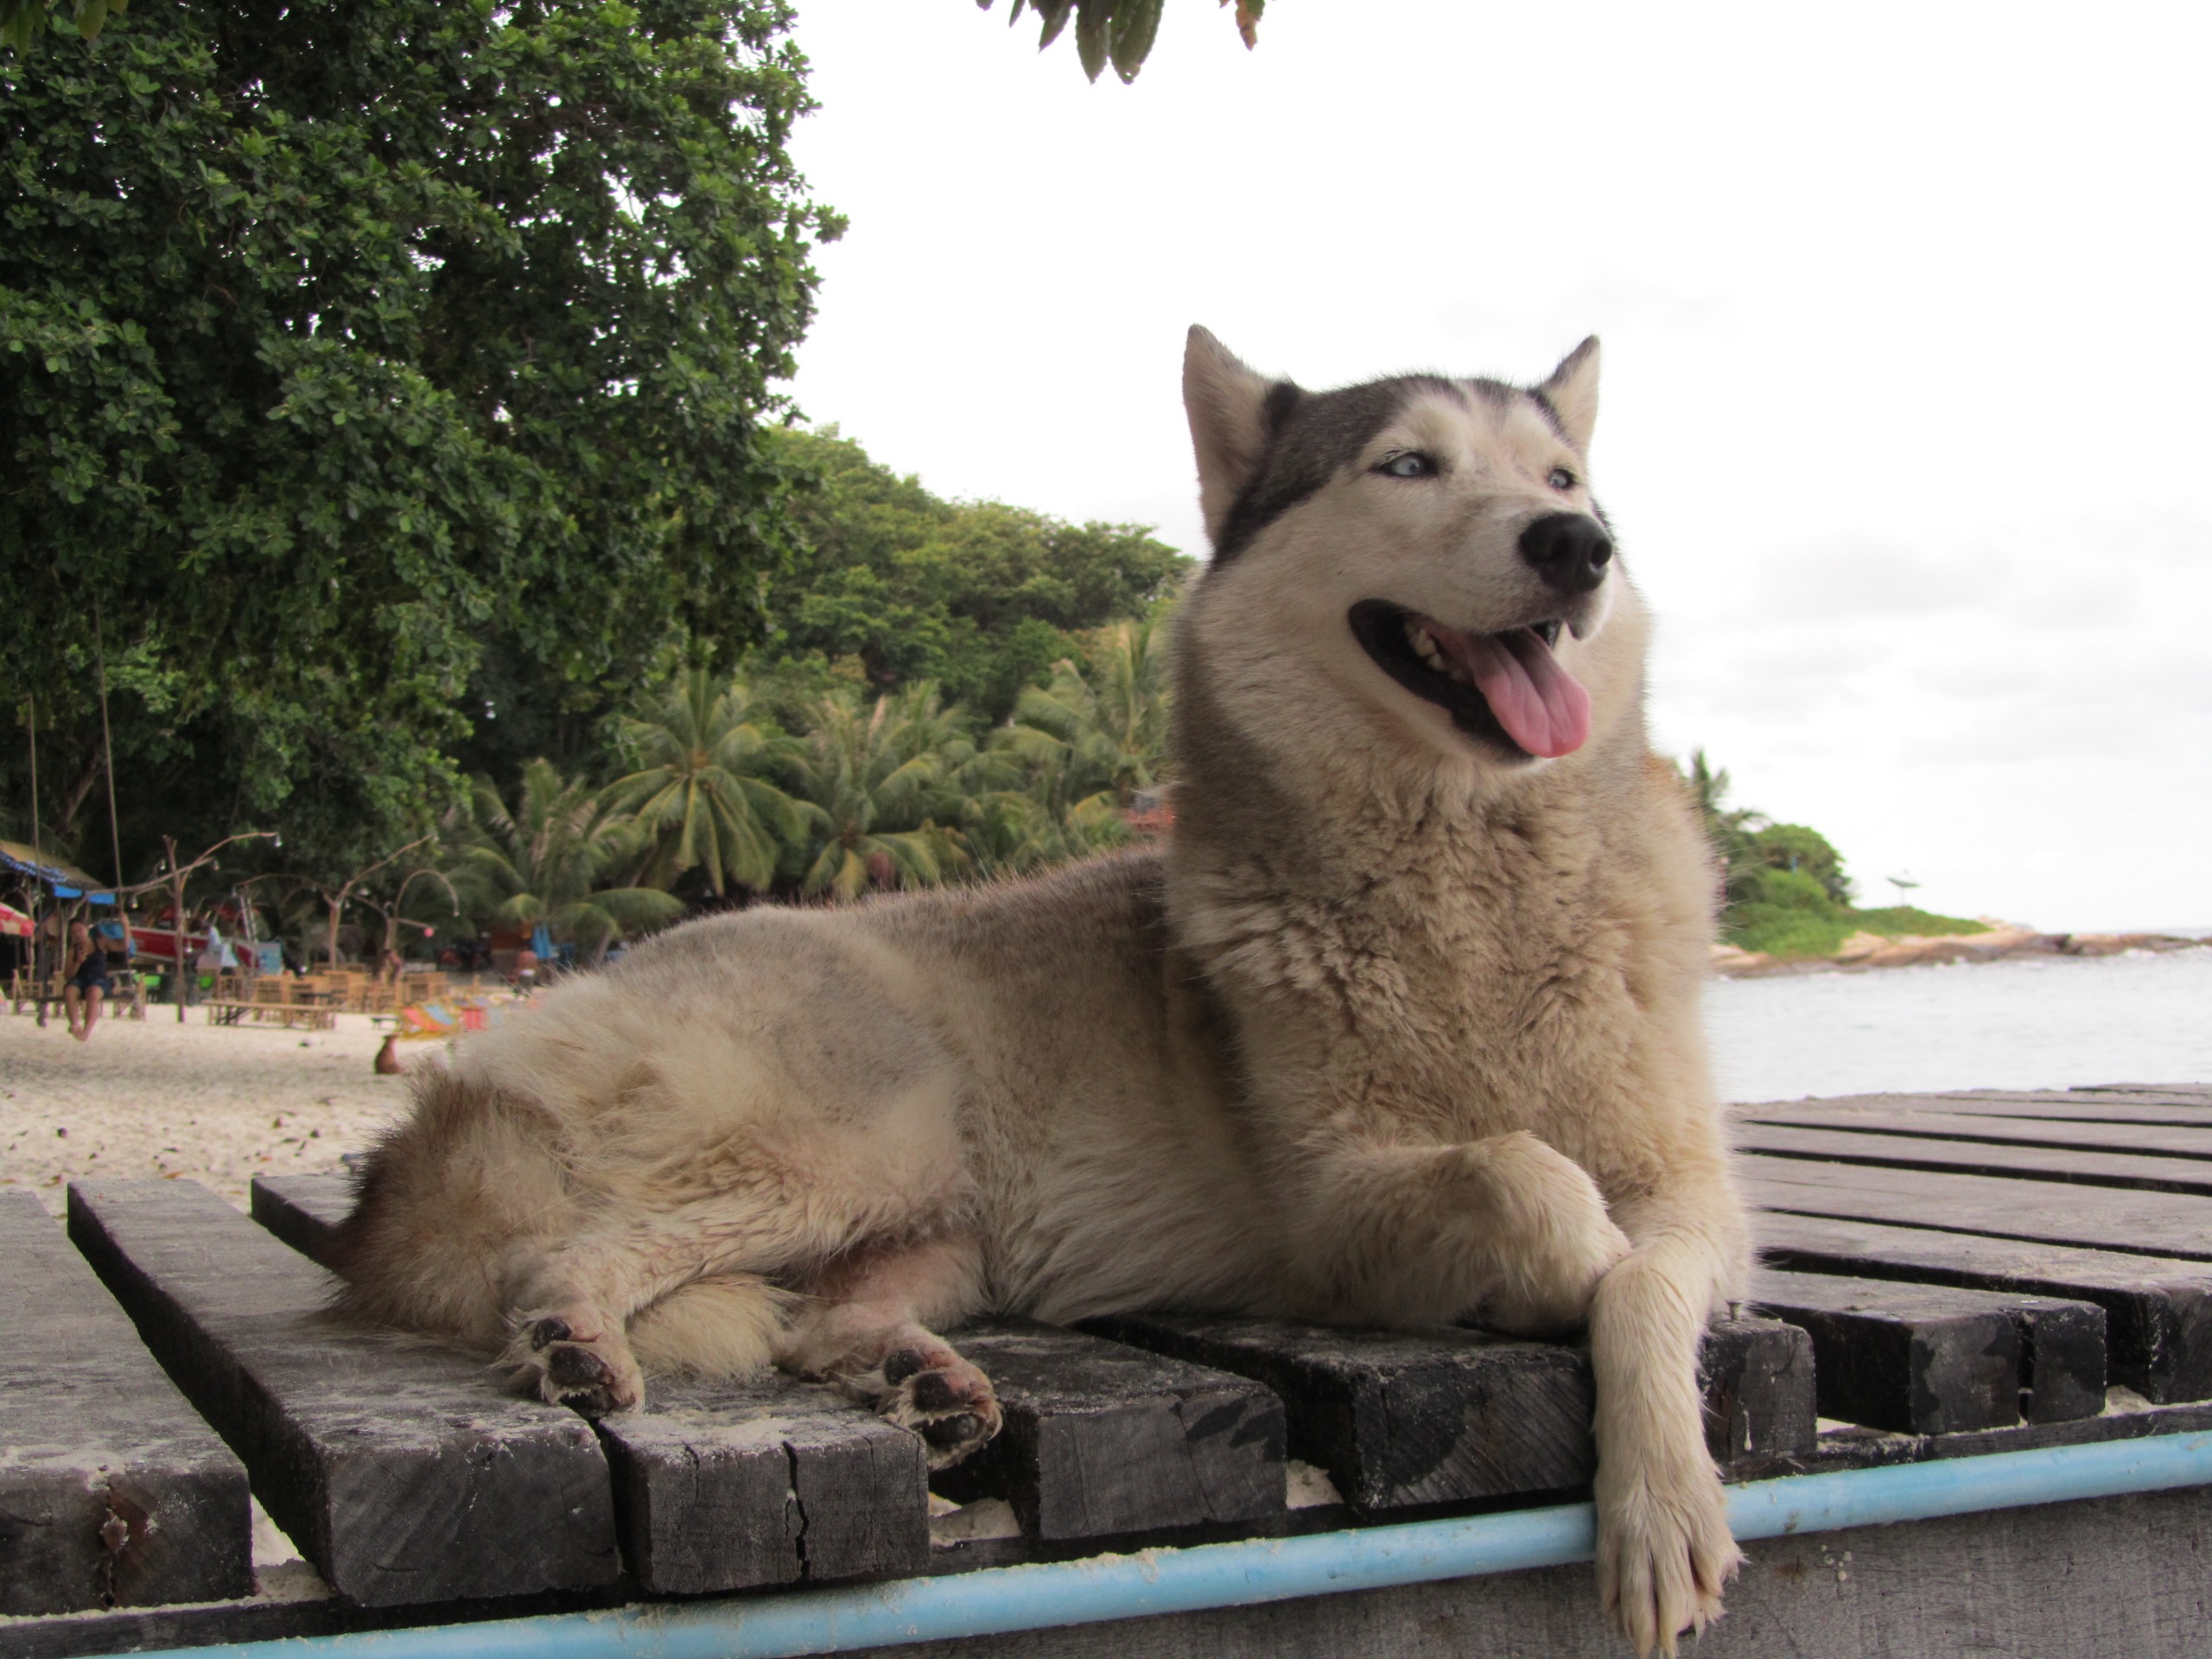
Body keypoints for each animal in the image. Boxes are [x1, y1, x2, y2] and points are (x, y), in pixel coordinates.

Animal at [331, 328, 1749, 1654]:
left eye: (1561, 477)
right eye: (1408, 466)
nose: (1578, 544)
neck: (1469, 880)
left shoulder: (1694, 1190)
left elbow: (1650, 1285)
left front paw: (1664, 1503)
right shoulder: (1332, 1215)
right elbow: (1528, 1176)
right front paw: (1570, 1264)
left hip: (944, 1228)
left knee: (817, 1326)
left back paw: (922, 1382)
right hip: (865, 1139)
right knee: (565, 1251)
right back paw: (577, 1336)